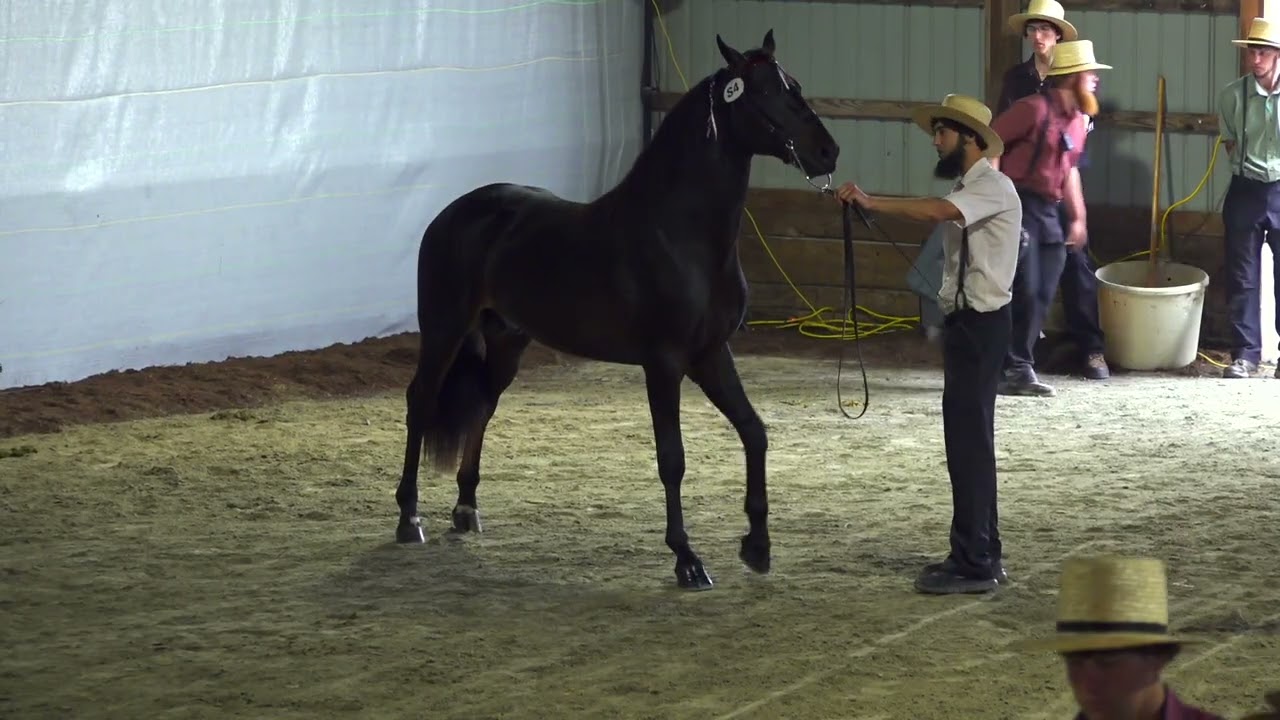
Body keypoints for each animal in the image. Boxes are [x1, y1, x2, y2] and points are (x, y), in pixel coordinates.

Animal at [393, 30, 840, 590]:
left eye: (794, 85)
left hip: (506, 343)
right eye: (763, 93)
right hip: (445, 328)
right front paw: (687, 559)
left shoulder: (711, 355)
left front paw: (757, 546)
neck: (679, 234)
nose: (827, 151)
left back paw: (467, 509)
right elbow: (672, 459)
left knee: (483, 406)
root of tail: (452, 213)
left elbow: (754, 433)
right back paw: (409, 518)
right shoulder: (664, 363)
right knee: (421, 401)